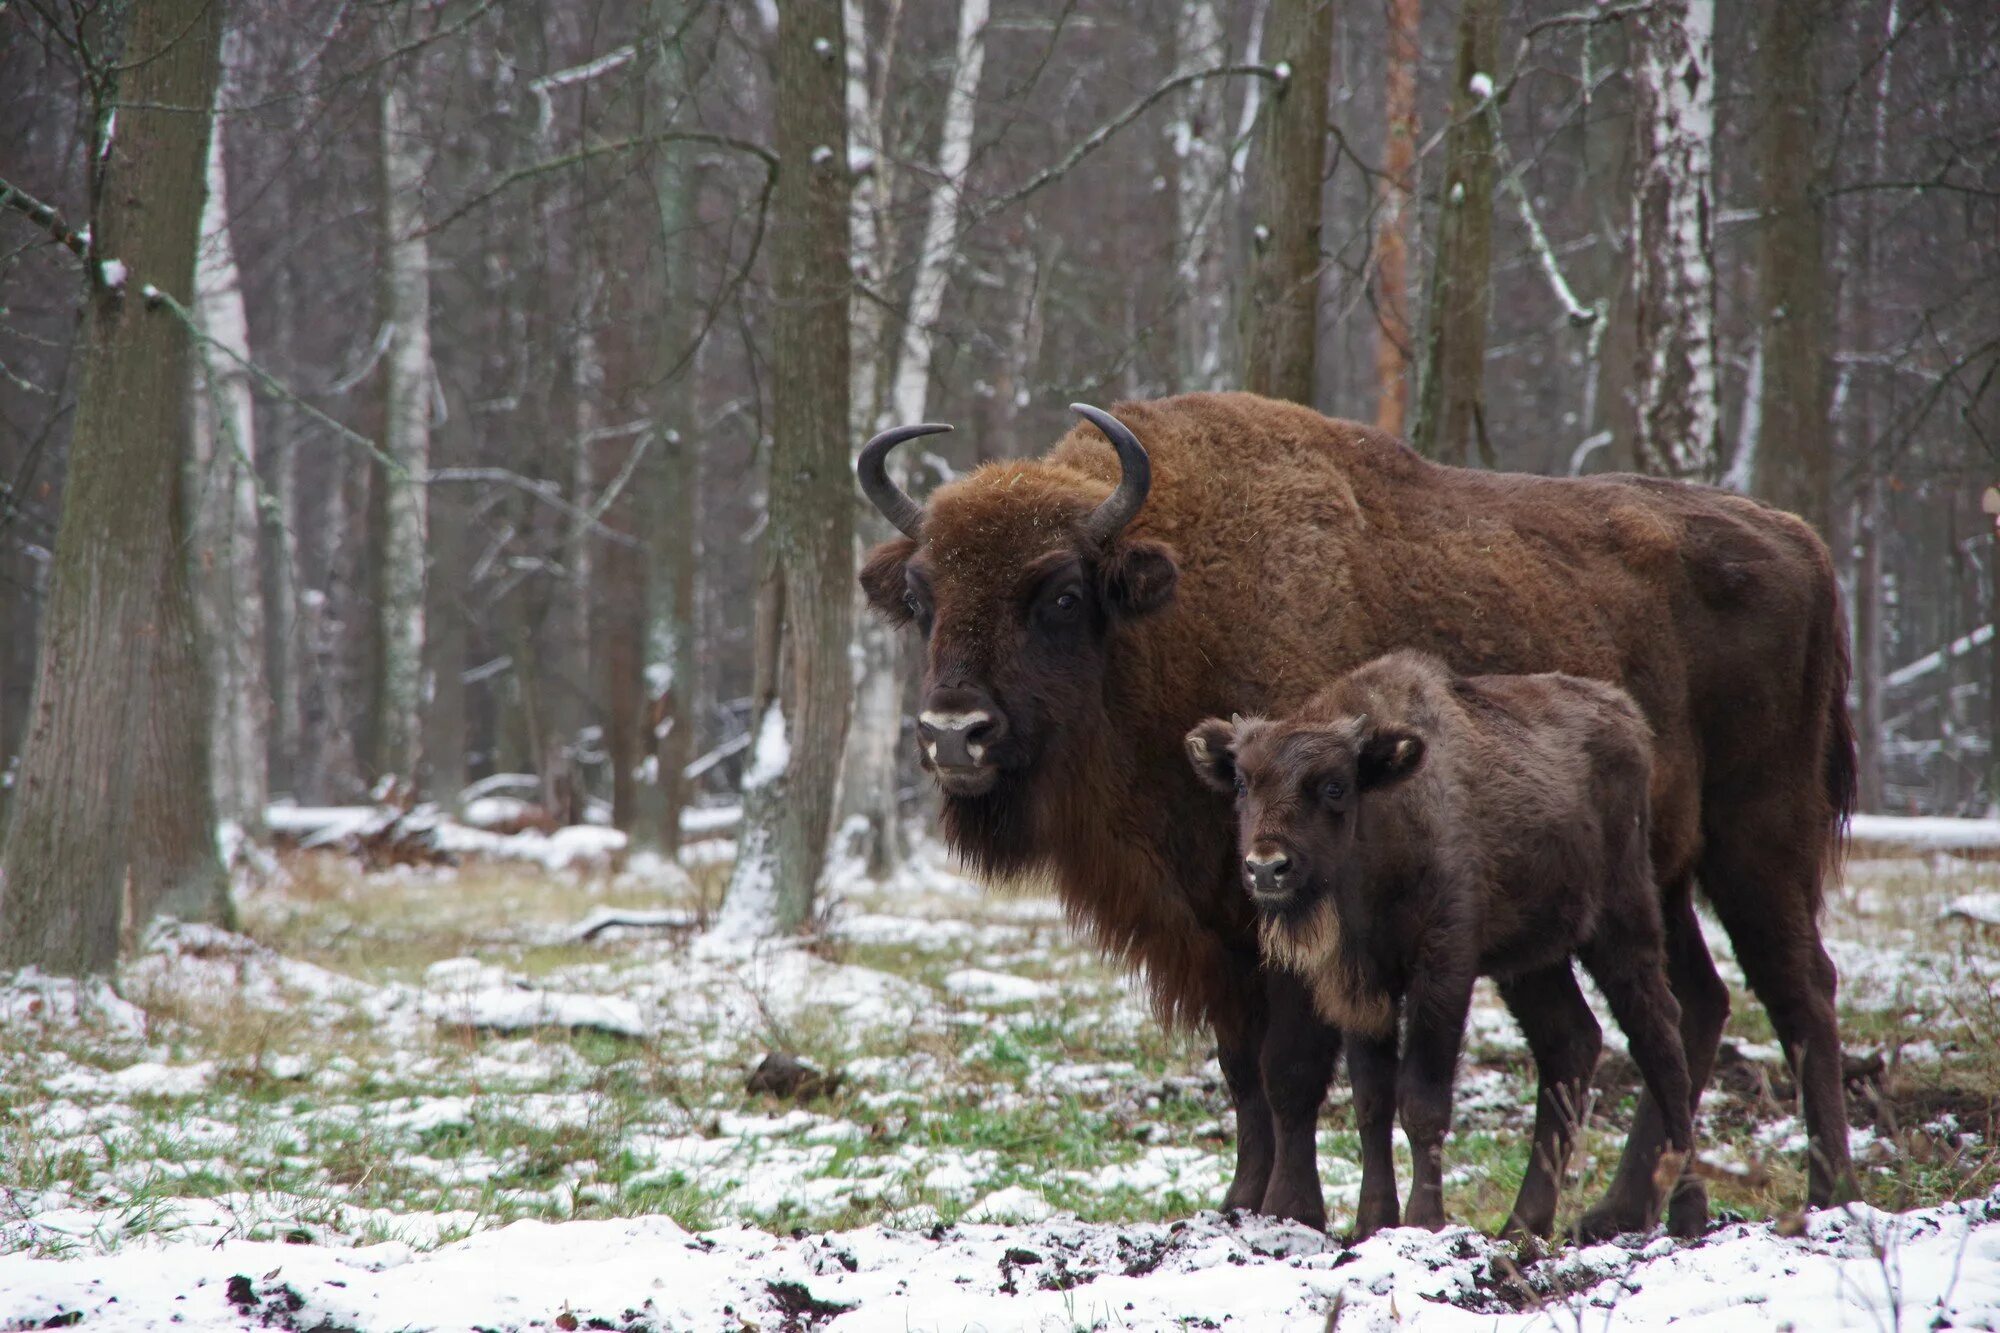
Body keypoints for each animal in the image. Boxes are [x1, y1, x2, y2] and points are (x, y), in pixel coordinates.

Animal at [1184, 648, 1704, 1240]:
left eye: (1335, 786)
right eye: (1242, 784)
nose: (1266, 867)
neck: (1383, 822)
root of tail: (1628, 717)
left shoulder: (1443, 971)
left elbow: (1422, 1100)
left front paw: (1423, 1222)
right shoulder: (1363, 985)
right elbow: (1372, 1101)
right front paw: (1372, 1222)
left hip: (1623, 925)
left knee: (1661, 1039)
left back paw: (1690, 1212)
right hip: (1533, 963)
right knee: (1571, 1042)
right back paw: (1523, 1225)